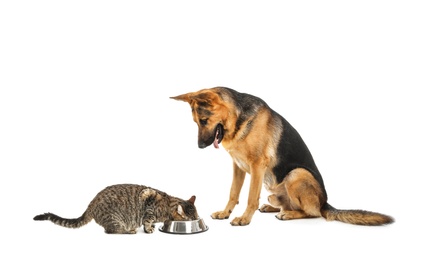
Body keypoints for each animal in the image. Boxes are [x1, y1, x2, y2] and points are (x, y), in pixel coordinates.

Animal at [33, 184, 199, 235]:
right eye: (192, 219)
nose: (197, 219)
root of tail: (91, 204)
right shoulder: (148, 199)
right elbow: (147, 220)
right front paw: (148, 229)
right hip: (115, 219)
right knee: (111, 230)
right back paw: (129, 231)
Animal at [170, 87, 394, 225]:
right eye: (196, 122)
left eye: (204, 120)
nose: (200, 146)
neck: (238, 119)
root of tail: (325, 203)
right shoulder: (237, 167)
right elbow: (233, 193)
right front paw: (225, 213)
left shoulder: (257, 166)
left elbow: (250, 197)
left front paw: (244, 219)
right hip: (274, 191)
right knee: (287, 204)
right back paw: (272, 208)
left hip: (296, 175)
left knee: (312, 213)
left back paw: (288, 214)